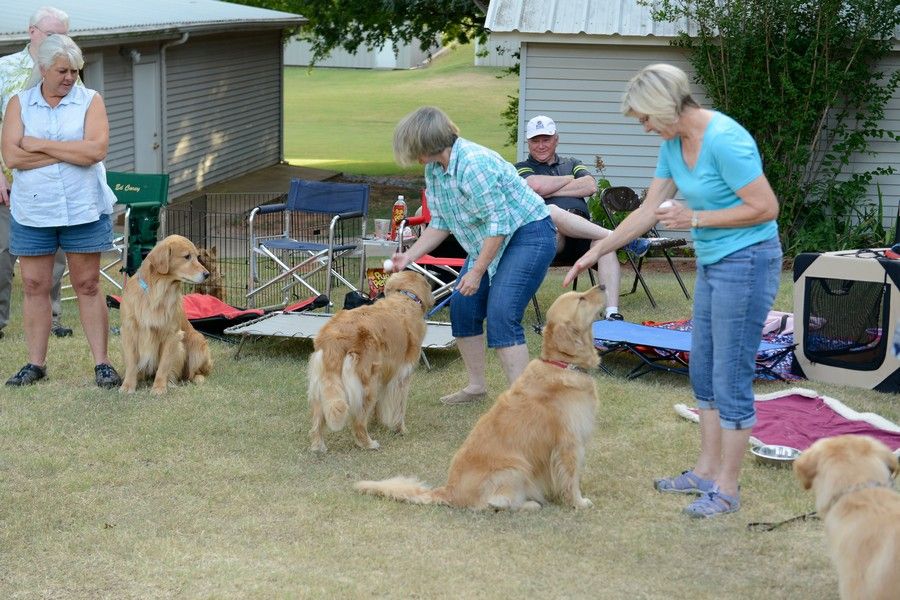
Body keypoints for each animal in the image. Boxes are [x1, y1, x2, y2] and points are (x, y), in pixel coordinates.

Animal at [119, 234, 214, 395]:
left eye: (198, 257)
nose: (207, 274)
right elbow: (131, 363)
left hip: (198, 341)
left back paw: (197, 378)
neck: (156, 292)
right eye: (187, 257)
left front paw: (159, 387)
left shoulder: (171, 334)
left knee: (195, 372)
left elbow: (164, 365)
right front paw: (128, 385)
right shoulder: (129, 330)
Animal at [308, 270, 435, 452]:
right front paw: (400, 429)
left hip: (324, 384)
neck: (406, 297)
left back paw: (318, 446)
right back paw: (368, 443)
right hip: (367, 383)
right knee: (358, 422)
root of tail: (335, 337)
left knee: (318, 421)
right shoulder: (402, 375)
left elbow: (379, 406)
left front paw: (377, 422)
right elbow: (399, 407)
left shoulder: (384, 375)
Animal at [355, 285, 604, 510]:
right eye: (581, 299)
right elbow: (571, 480)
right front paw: (579, 502)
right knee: (493, 503)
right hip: (516, 467)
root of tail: (449, 490)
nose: (601, 286)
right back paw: (530, 504)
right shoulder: (569, 444)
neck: (562, 364)